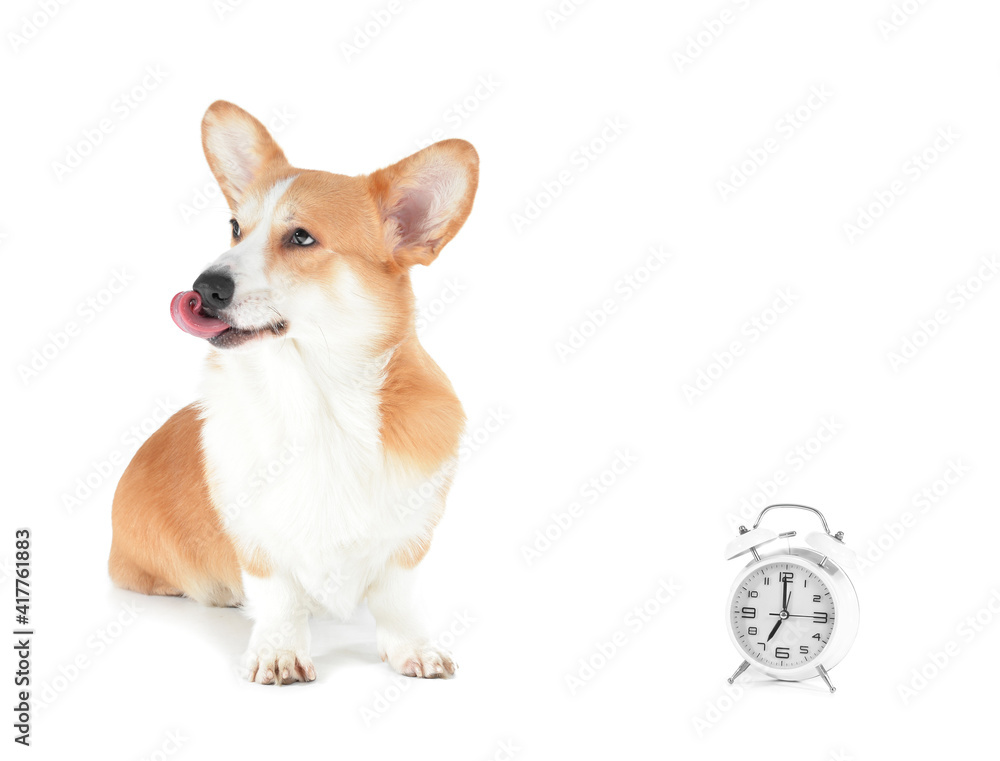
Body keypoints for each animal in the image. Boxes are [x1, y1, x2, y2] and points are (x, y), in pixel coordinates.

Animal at [111, 99, 478, 684]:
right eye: (235, 228)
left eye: (301, 237)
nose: (203, 287)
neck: (317, 396)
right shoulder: (257, 539)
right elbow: (278, 594)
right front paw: (279, 650)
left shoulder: (409, 536)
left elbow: (396, 598)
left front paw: (412, 648)